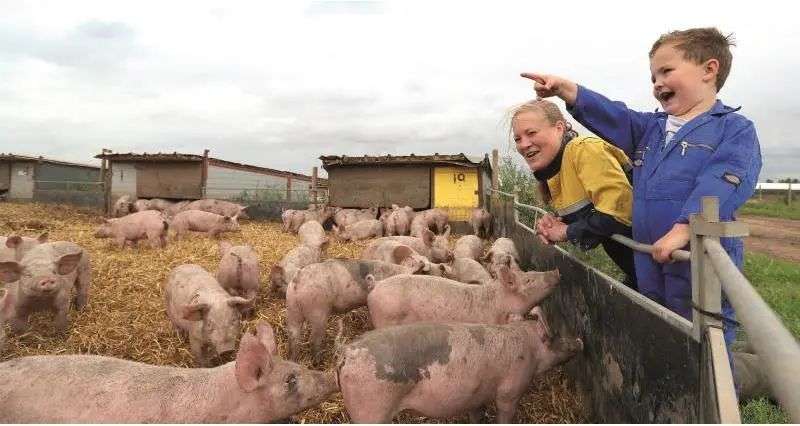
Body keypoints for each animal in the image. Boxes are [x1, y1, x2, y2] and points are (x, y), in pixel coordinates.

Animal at [286, 258, 424, 364]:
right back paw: (318, 363)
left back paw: (293, 360)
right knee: (314, 339)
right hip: (318, 311)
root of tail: (298, 278)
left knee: (293, 336)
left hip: (292, 308)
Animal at [336, 316, 580, 422]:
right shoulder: (511, 391)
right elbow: (505, 414)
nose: (580, 339)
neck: (530, 348)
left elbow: (477, 414)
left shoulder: (478, 394)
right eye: (556, 335)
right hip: (371, 408)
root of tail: (347, 352)